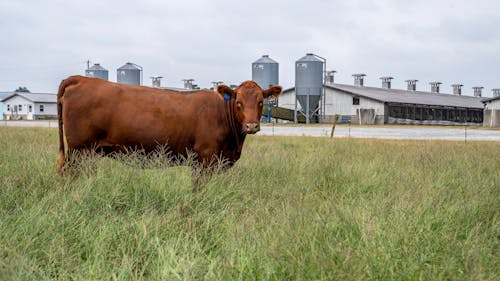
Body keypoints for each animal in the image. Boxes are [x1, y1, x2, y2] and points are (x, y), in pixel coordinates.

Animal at [55, 75, 282, 177]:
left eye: (261, 102)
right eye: (239, 102)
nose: (251, 126)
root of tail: (82, 79)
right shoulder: (206, 158)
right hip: (80, 150)